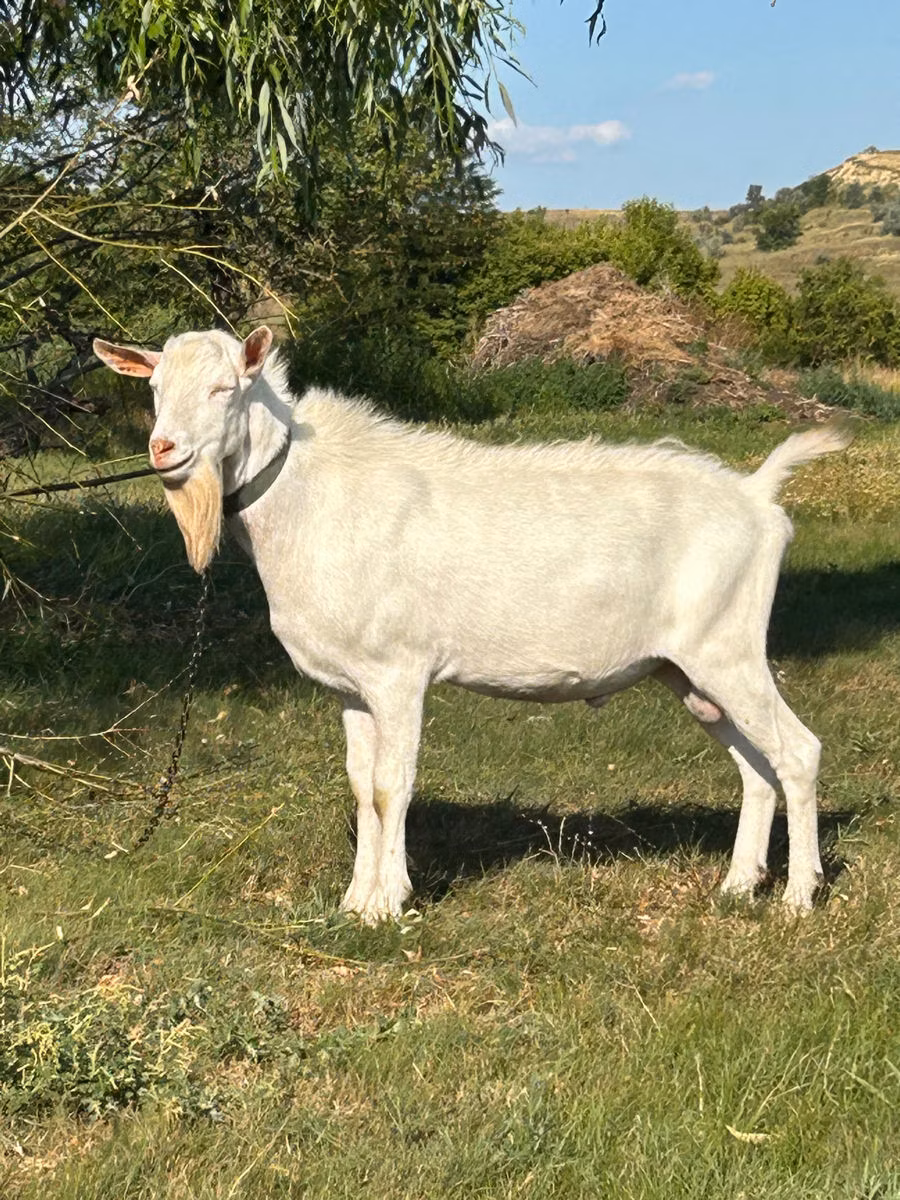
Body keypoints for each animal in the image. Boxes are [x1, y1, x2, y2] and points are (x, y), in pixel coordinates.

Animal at [94, 327, 852, 923]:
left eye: (227, 388)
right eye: (153, 387)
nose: (163, 449)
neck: (308, 495)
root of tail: (757, 496)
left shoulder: (398, 671)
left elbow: (390, 784)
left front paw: (387, 904)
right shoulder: (350, 686)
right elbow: (359, 783)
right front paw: (353, 900)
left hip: (728, 646)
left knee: (799, 751)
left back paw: (798, 897)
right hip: (689, 669)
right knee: (756, 767)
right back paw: (738, 886)